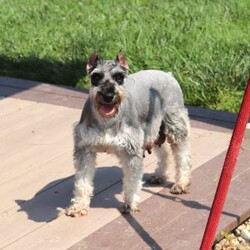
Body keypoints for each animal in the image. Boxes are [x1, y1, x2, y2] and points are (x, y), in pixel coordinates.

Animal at [65, 51, 191, 217]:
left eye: (119, 77)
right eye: (96, 77)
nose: (108, 95)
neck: (106, 121)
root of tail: (168, 74)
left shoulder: (131, 151)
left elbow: (132, 181)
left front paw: (130, 205)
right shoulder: (85, 150)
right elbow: (82, 181)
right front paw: (78, 206)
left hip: (175, 126)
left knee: (183, 155)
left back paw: (181, 183)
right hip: (153, 132)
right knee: (163, 152)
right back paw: (159, 175)